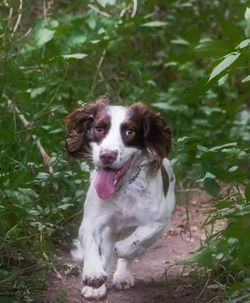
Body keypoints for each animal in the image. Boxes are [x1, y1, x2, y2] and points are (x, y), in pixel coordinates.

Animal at [65, 98, 175, 302]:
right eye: (99, 128)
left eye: (130, 131)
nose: (107, 155)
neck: (123, 189)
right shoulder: (91, 220)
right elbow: (92, 244)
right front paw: (93, 274)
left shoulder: (159, 222)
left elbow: (134, 242)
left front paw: (123, 251)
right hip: (112, 226)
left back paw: (122, 274)